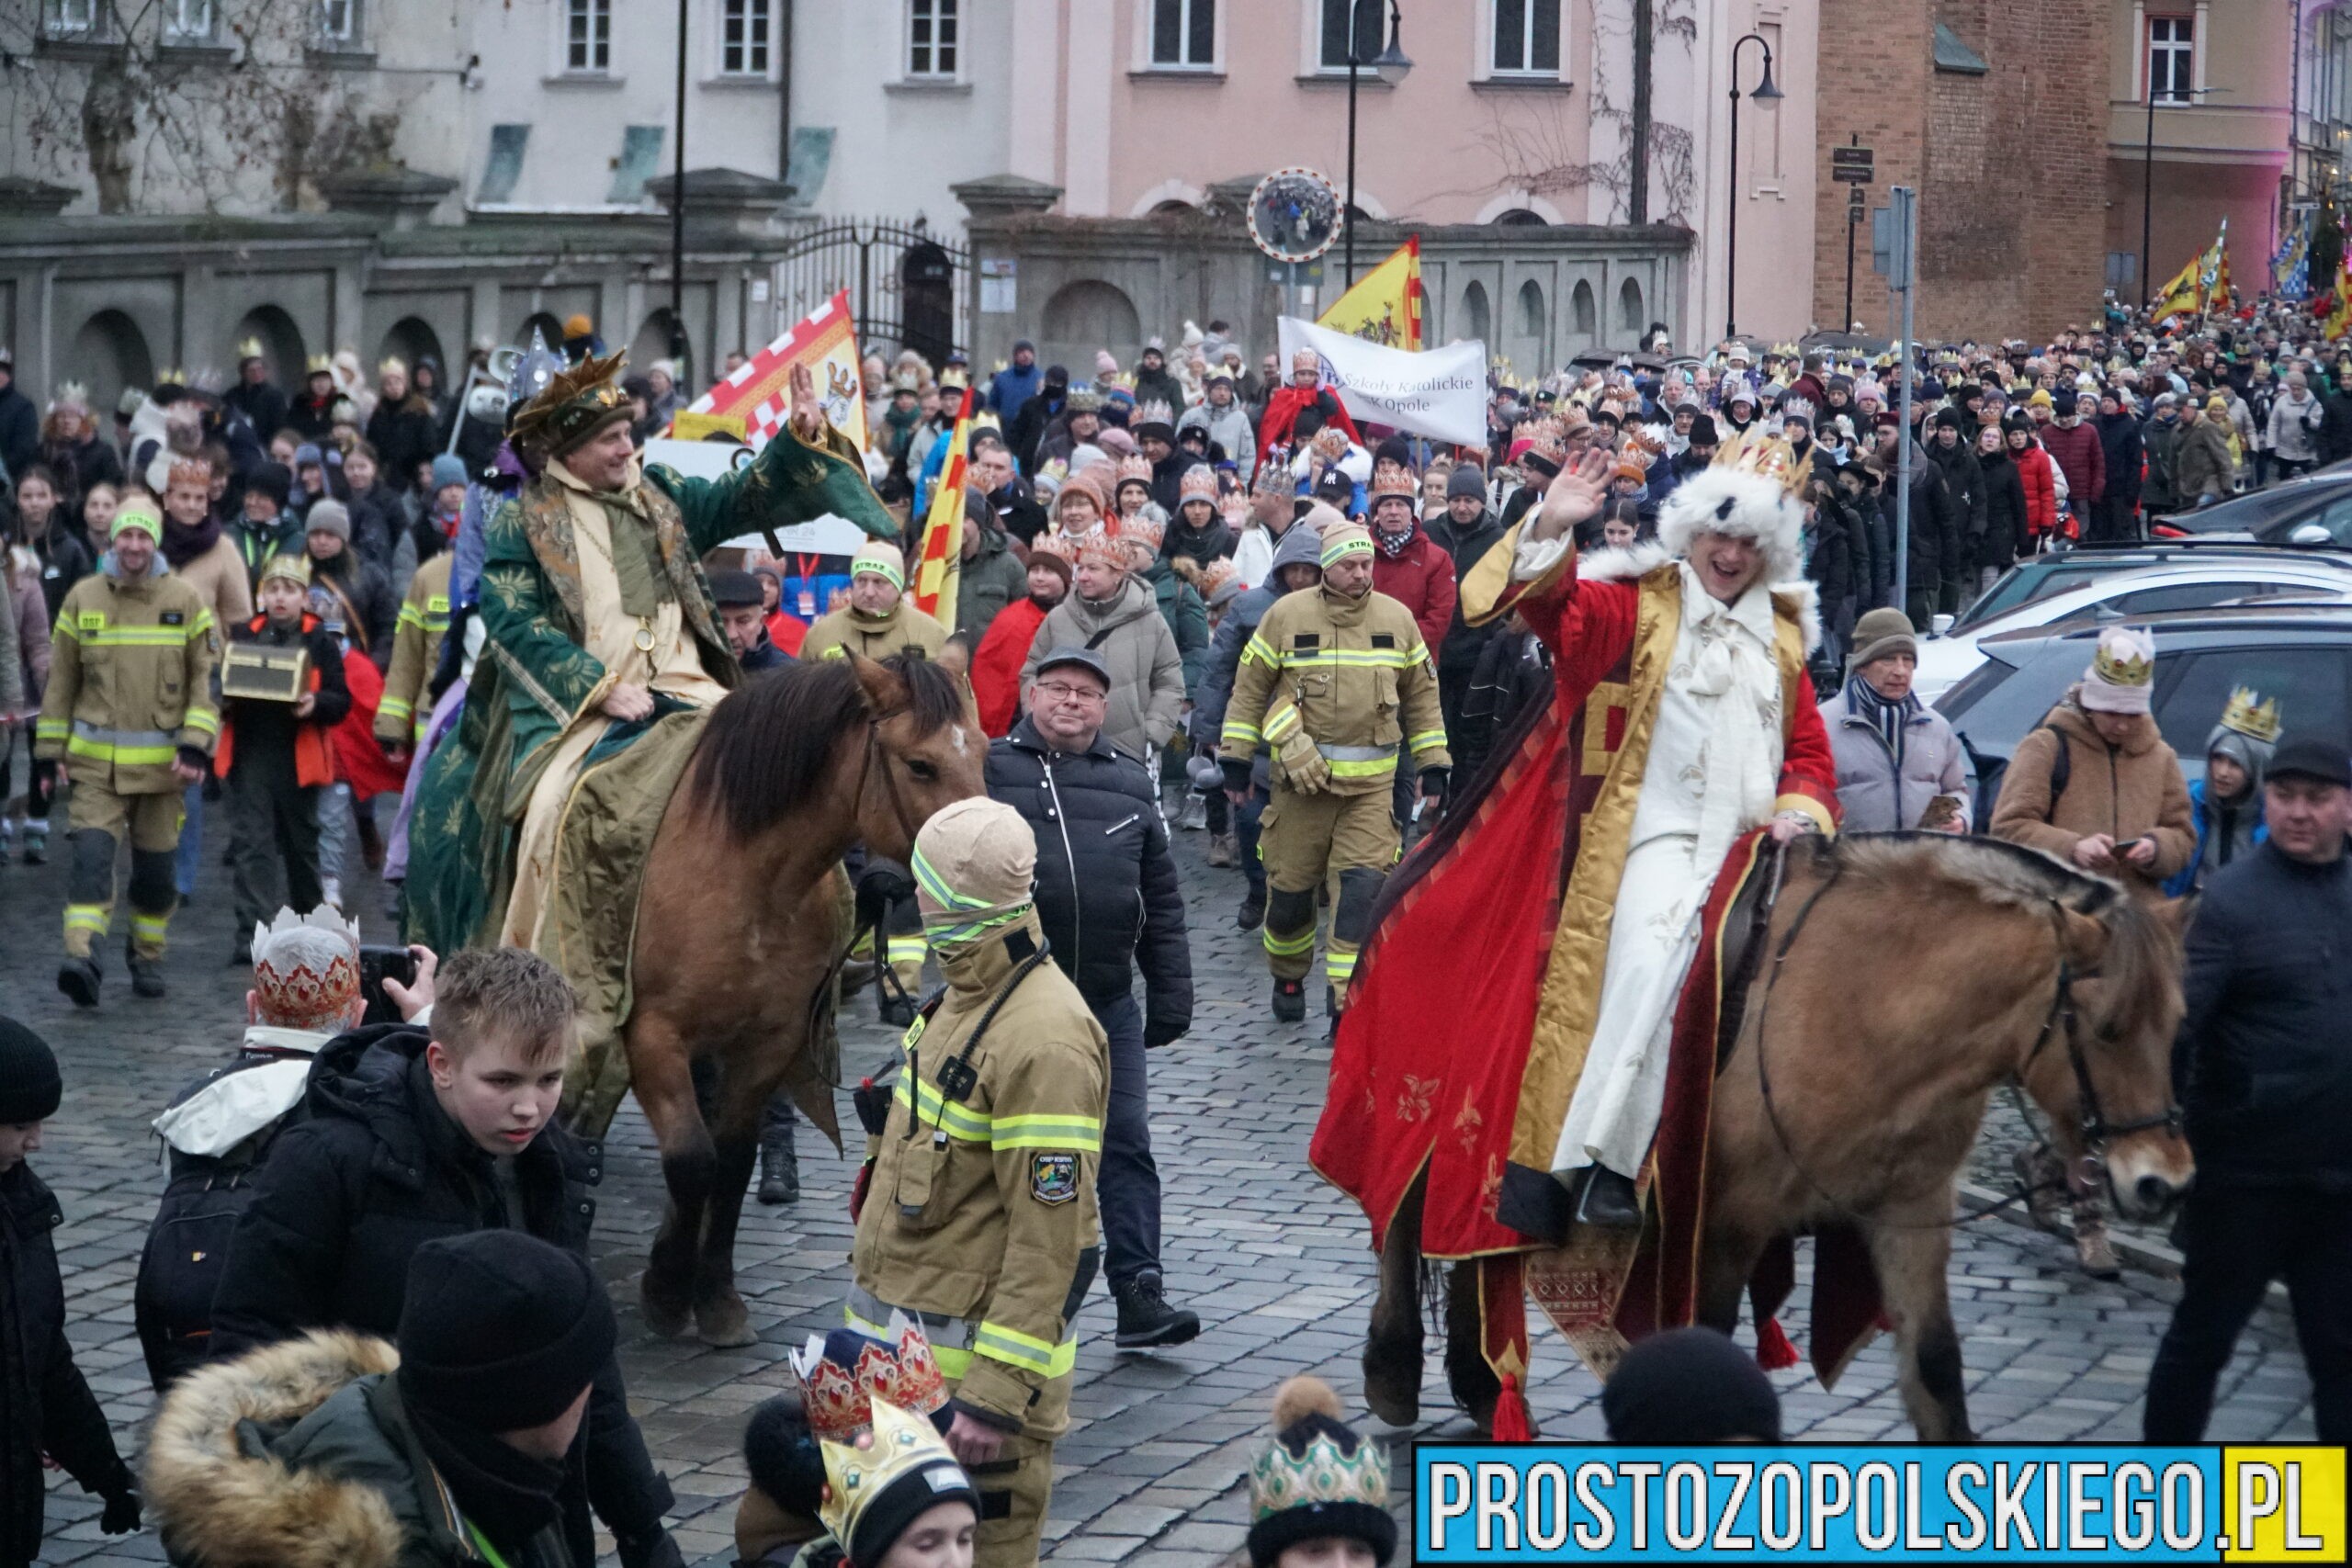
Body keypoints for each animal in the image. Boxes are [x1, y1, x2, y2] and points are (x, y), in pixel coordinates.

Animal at [620, 649, 978, 1354]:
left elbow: (730, 1161)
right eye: (920, 764)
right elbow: (692, 1158)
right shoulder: (651, 1033)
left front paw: (715, 1296)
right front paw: (667, 1291)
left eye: (980, 748)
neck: (741, 872)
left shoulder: (769, 1039)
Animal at [1363, 841, 2182, 1438]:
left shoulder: (1910, 1210)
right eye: (2108, 1027)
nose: (2162, 1183)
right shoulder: (1723, 1225)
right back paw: (1394, 1368)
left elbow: (1937, 1370)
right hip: (1436, 1120)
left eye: (2175, 1023)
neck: (1860, 1001)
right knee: (1404, 1225)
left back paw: (1481, 1385)